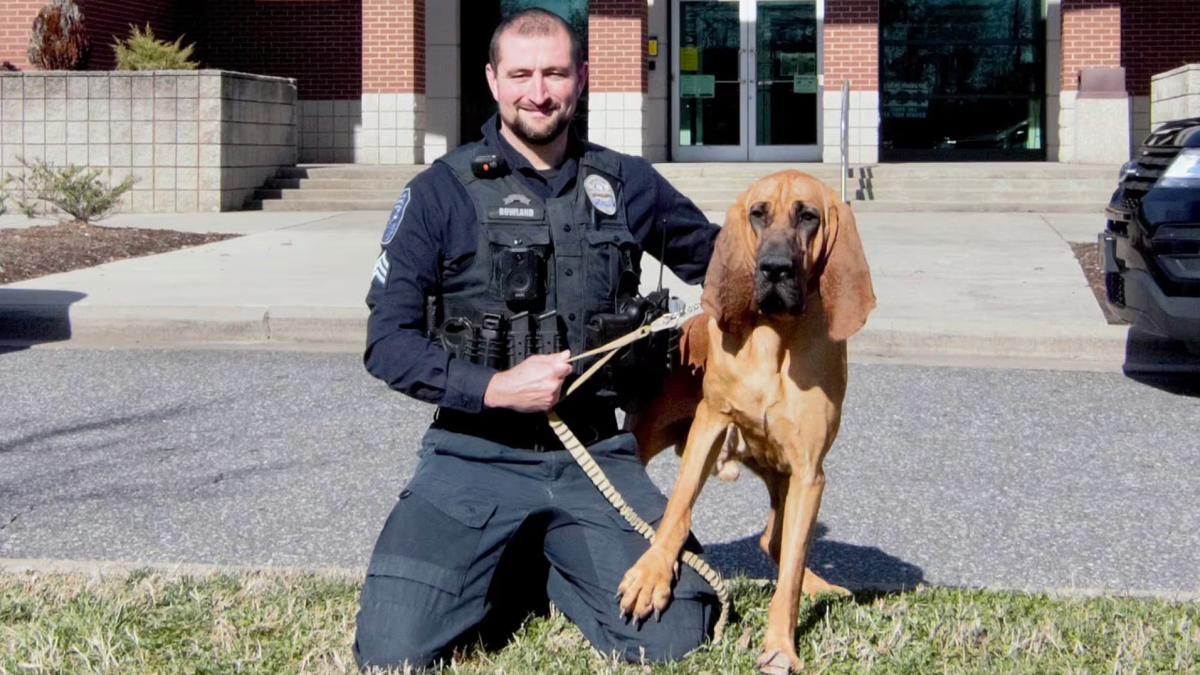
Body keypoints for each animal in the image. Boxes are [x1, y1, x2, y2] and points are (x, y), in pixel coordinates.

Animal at [619, 170, 873, 667]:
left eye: (808, 216)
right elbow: (676, 510)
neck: (775, 342)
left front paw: (779, 646)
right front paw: (652, 573)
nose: (774, 268)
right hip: (647, 437)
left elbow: (790, 567)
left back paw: (818, 586)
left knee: (777, 541)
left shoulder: (809, 472)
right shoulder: (711, 423)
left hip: (785, 477)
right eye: (758, 213)